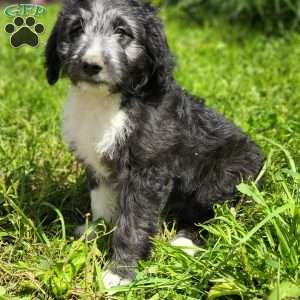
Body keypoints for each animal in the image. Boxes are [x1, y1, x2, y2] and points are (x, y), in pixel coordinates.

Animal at [44, 0, 262, 288]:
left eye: (122, 32)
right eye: (76, 29)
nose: (91, 65)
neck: (106, 102)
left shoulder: (147, 174)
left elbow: (133, 225)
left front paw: (120, 272)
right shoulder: (98, 167)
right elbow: (101, 204)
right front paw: (95, 231)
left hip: (226, 174)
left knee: (215, 214)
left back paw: (185, 242)